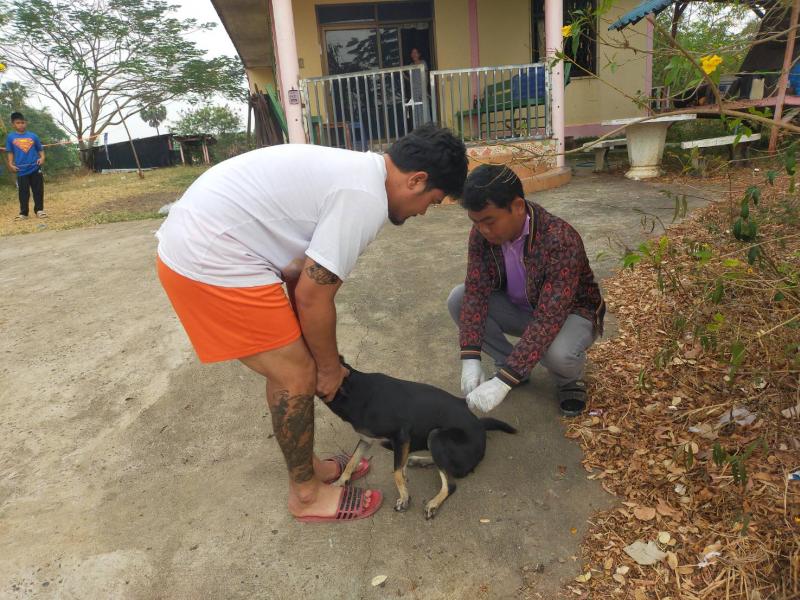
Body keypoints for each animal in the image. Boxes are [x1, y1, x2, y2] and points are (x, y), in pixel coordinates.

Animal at [324, 359, 517, 519]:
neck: (358, 392)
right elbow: (352, 461)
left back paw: (433, 503)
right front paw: (340, 482)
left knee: (450, 482)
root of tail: (480, 425)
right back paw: (419, 460)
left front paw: (404, 498)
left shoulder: (401, 436)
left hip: (436, 436)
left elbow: (396, 472)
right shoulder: (367, 440)